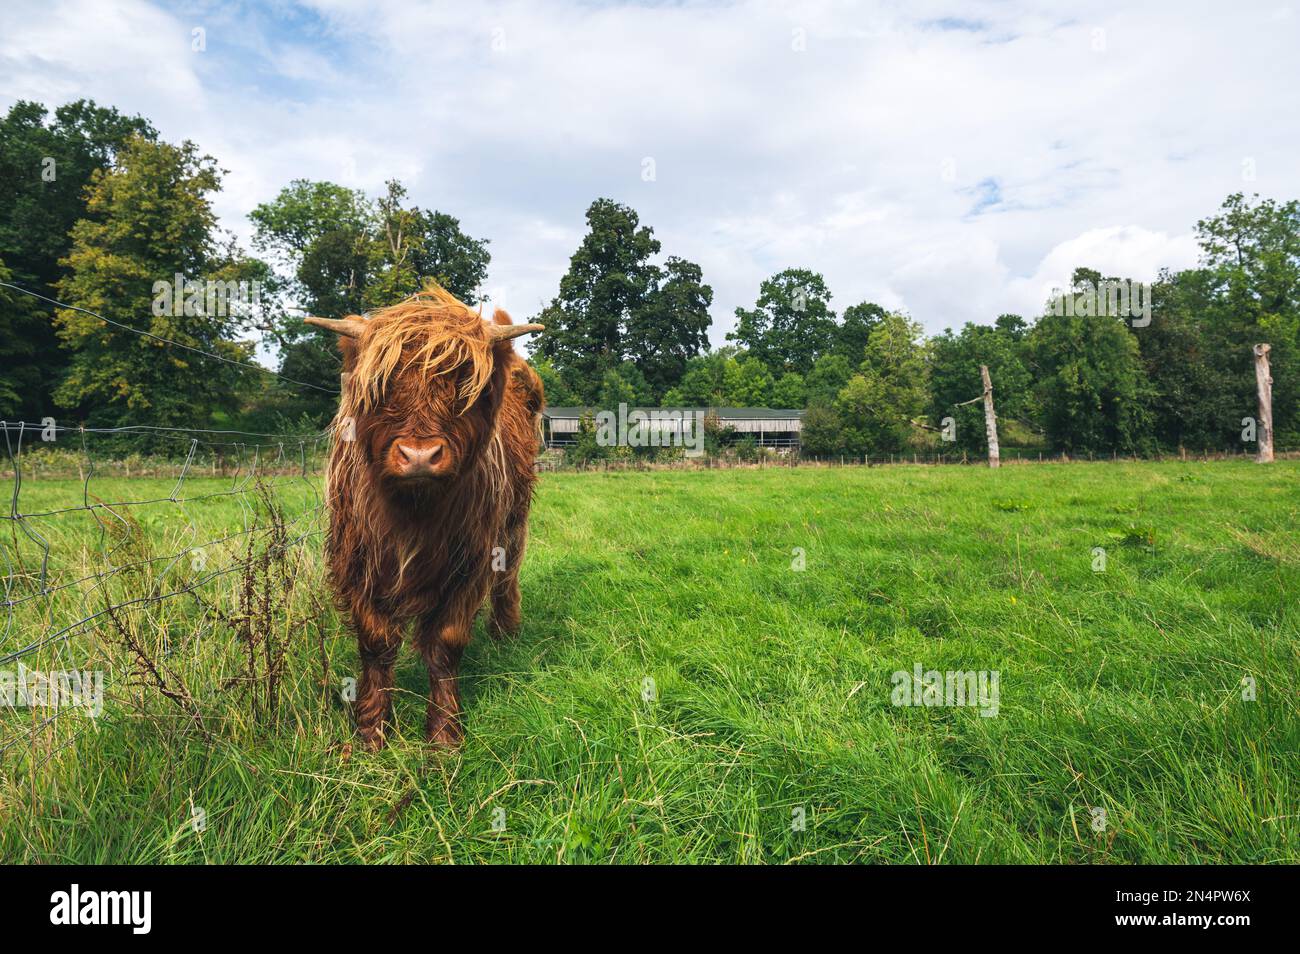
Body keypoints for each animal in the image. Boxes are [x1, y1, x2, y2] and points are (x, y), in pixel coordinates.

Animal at [305, 285, 545, 750]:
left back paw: (506, 632)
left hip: (514, 522)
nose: (419, 455)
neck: (413, 512)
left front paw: (445, 732)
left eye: (464, 381)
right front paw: (372, 729)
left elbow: (445, 645)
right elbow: (376, 644)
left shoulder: (470, 563)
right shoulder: (357, 559)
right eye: (381, 384)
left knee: (508, 578)